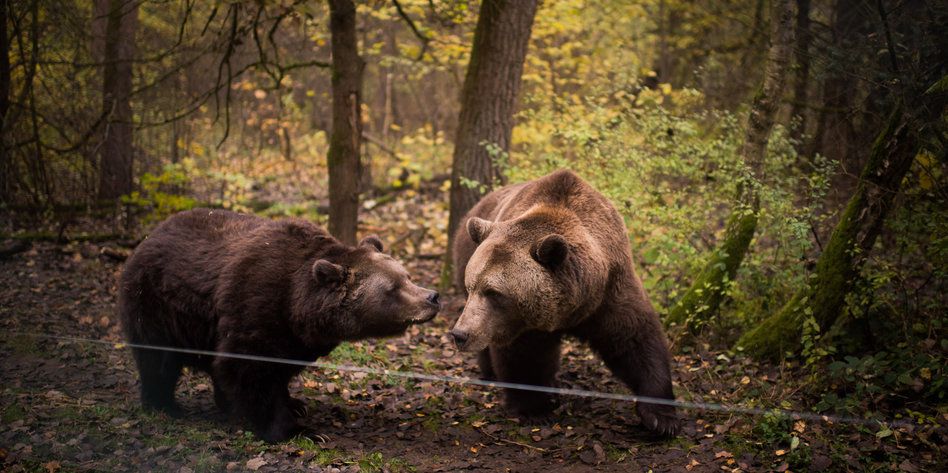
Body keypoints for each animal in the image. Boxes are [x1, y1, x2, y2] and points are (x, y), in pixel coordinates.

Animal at [118, 208, 440, 440]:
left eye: (407, 275)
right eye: (392, 288)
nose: (432, 297)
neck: (297, 306)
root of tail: (150, 236)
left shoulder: (293, 338)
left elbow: (278, 370)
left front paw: (295, 404)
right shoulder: (255, 303)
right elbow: (250, 368)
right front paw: (297, 430)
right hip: (157, 304)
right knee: (158, 359)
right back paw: (163, 405)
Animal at [452, 169, 680, 436]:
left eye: (494, 292)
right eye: (473, 286)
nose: (460, 334)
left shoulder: (609, 291)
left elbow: (635, 339)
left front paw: (661, 418)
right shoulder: (521, 325)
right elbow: (523, 356)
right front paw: (534, 409)